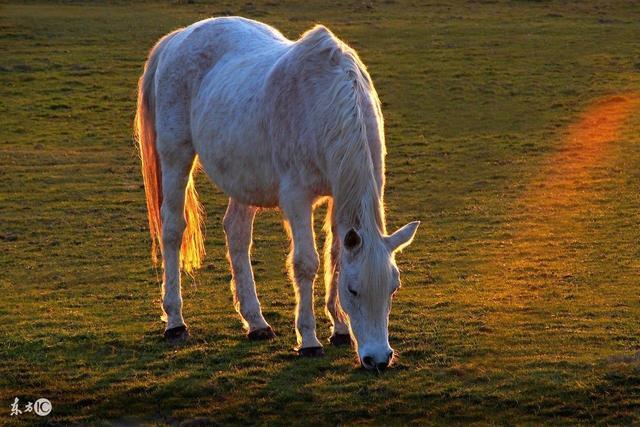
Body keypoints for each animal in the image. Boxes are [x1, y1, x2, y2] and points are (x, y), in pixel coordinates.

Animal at [134, 16, 420, 370]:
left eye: (393, 288)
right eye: (353, 290)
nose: (378, 358)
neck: (325, 102)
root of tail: (178, 38)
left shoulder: (338, 196)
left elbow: (335, 255)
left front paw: (339, 329)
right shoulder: (296, 198)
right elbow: (306, 263)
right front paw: (309, 340)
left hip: (243, 175)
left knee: (236, 232)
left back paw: (256, 322)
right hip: (176, 157)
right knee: (173, 230)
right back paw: (175, 321)